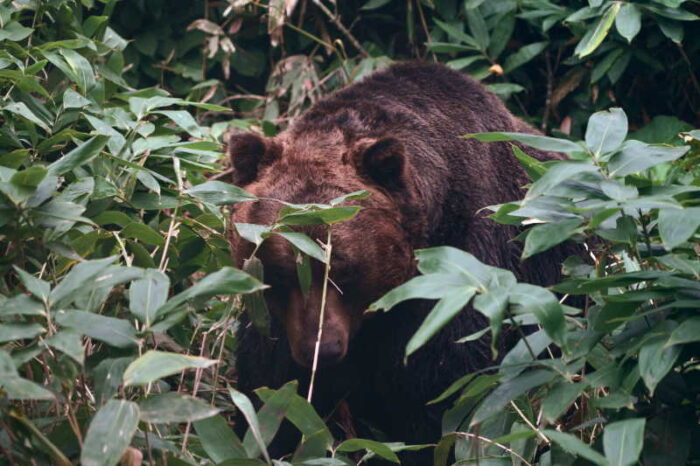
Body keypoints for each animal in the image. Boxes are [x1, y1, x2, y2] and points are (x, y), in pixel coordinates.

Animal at [230, 62, 568, 458]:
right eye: (282, 270)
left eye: (344, 269)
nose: (322, 348)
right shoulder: (275, 324)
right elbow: (271, 390)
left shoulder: (458, 280)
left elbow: (442, 396)